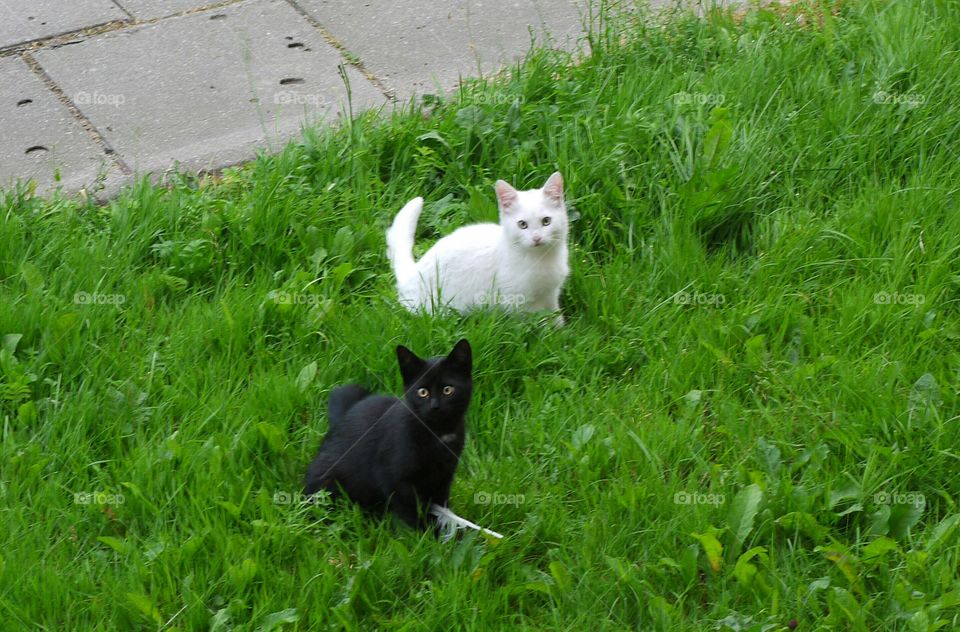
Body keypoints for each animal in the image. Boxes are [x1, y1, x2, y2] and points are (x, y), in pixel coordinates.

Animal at [304, 340, 472, 528]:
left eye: (448, 390)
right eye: (422, 392)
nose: (435, 406)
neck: (438, 434)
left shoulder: (444, 475)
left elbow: (440, 502)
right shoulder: (394, 479)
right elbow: (410, 511)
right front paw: (424, 532)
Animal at [386, 172, 568, 320]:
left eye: (546, 221)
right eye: (522, 224)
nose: (537, 238)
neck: (541, 258)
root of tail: (412, 272)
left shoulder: (551, 294)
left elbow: (555, 315)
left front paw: (560, 332)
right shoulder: (518, 302)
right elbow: (536, 321)